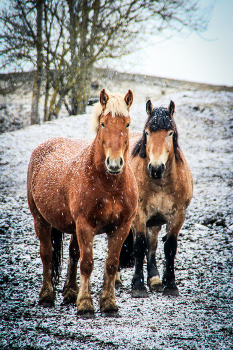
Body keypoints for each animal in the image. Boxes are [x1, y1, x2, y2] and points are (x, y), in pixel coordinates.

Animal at [26, 89, 138, 316]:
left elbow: (111, 263)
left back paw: (70, 292)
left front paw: (108, 302)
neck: (110, 185)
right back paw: (47, 295)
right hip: (40, 220)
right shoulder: (85, 225)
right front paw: (86, 303)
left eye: (127, 124)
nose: (114, 163)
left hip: (72, 226)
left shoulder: (121, 227)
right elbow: (87, 263)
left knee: (72, 254)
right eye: (103, 123)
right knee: (47, 254)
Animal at [118, 100, 193, 296]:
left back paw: (154, 279)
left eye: (170, 133)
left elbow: (169, 247)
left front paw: (170, 284)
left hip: (154, 221)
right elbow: (138, 246)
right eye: (147, 133)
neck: (161, 183)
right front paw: (138, 285)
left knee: (152, 245)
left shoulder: (177, 215)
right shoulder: (139, 215)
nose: (156, 168)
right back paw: (117, 279)